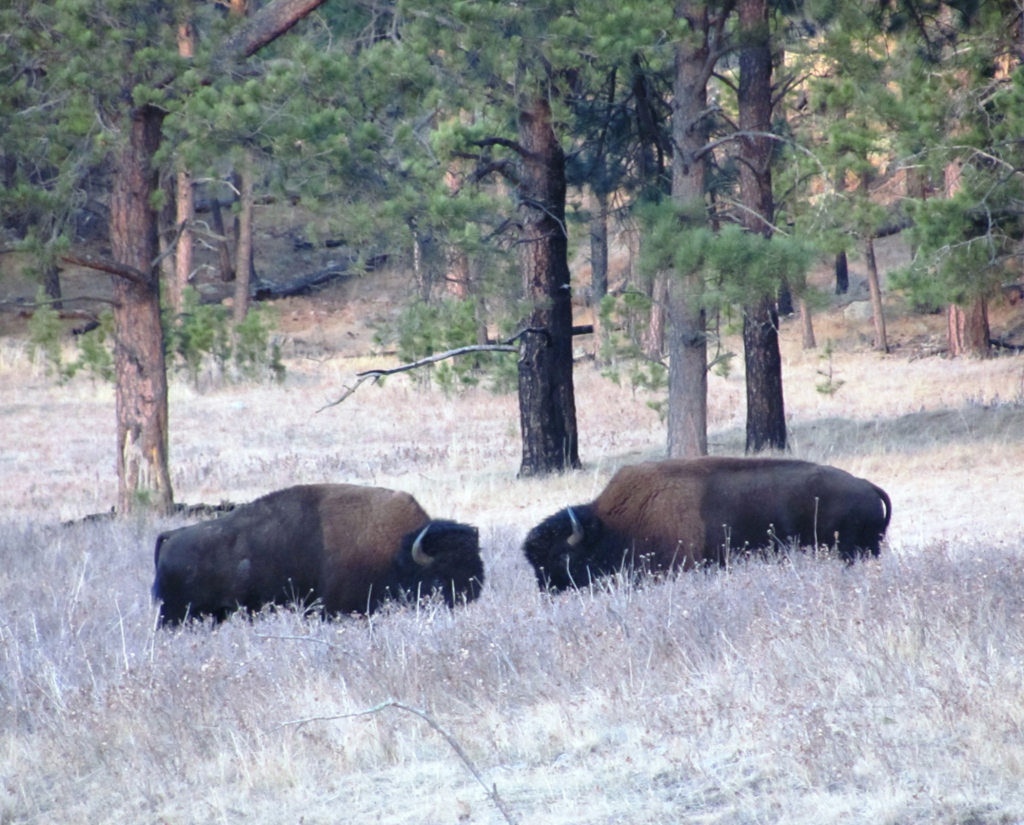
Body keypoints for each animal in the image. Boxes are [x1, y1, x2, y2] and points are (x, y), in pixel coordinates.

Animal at [153, 485, 485, 626]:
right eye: (440, 578)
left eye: (477, 572)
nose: (468, 600)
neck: (395, 551)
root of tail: (172, 537)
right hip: (176, 615)